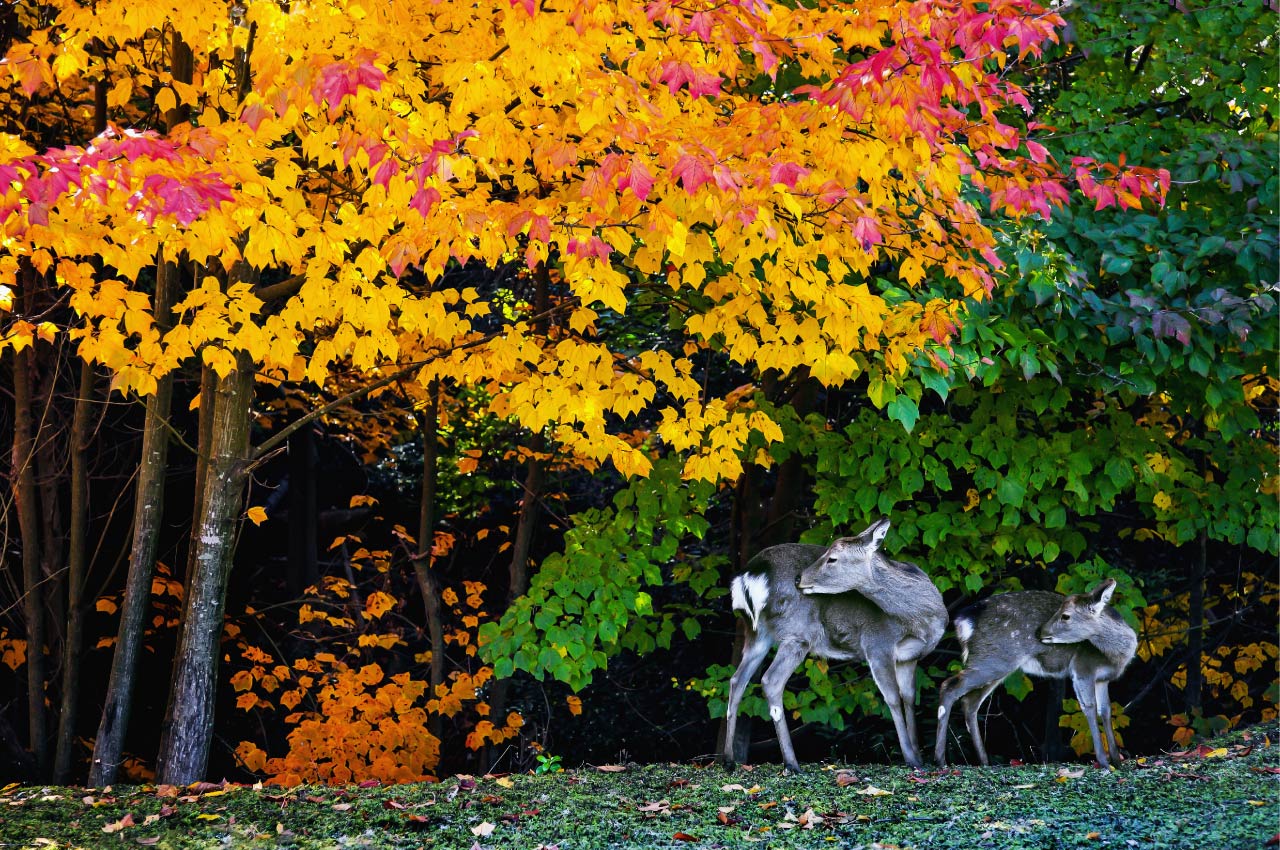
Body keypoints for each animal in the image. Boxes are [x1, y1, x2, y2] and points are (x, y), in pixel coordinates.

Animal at [721, 517, 952, 768]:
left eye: (832, 558)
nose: (798, 578)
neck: (921, 620)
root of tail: (749, 575)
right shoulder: (877, 644)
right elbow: (892, 698)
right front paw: (911, 758)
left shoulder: (910, 657)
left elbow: (909, 698)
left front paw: (919, 755)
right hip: (798, 632)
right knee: (771, 680)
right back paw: (792, 763)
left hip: (756, 633)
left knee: (737, 680)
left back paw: (728, 759)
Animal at [931, 578, 1141, 768]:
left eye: (1066, 616)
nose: (1040, 632)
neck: (1115, 656)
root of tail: (964, 621)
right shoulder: (1082, 668)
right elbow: (1089, 707)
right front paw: (1104, 762)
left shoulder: (1103, 679)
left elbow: (1106, 710)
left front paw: (1117, 761)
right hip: (992, 661)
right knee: (949, 687)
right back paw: (940, 760)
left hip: (994, 664)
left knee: (970, 702)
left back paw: (984, 761)